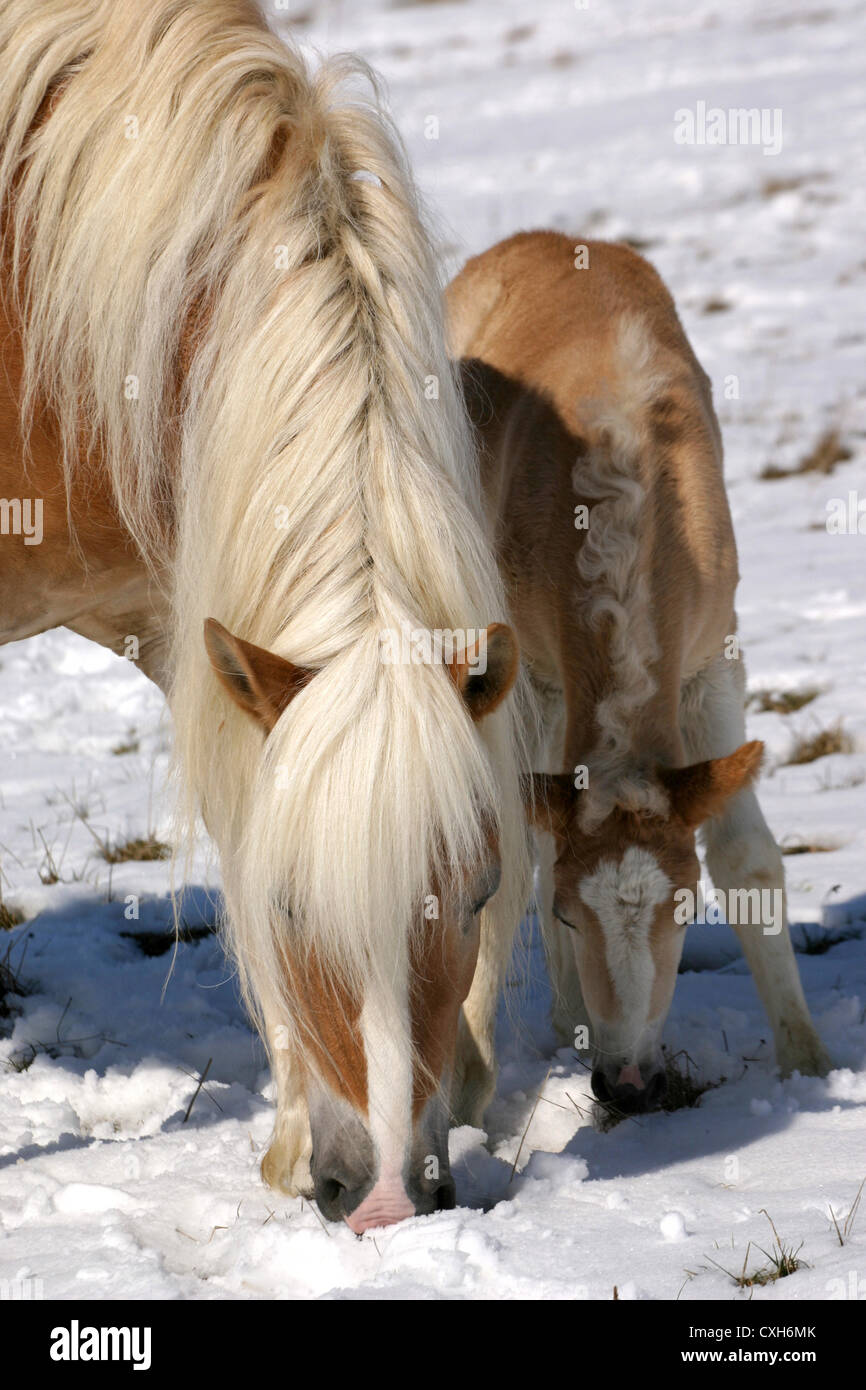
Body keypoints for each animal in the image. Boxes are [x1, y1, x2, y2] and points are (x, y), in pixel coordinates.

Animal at [444, 230, 828, 1117]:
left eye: (683, 908)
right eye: (569, 918)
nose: (624, 1081)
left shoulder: (712, 663)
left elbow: (748, 856)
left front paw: (808, 1067)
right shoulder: (527, 679)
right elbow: (508, 865)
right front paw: (470, 1095)